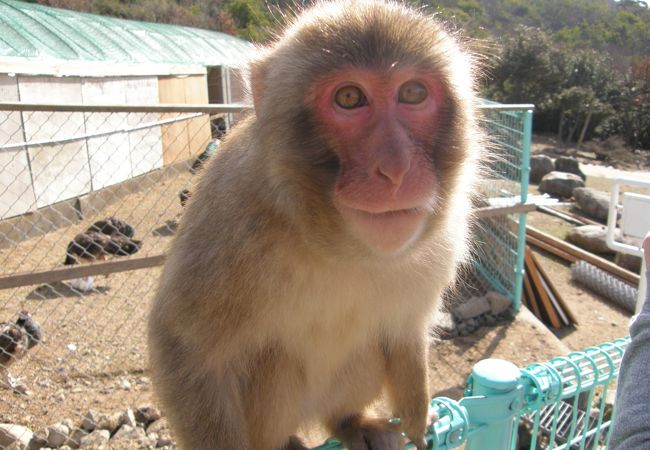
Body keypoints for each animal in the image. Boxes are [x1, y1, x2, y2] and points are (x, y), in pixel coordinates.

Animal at [148, 1, 480, 448]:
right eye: (349, 98)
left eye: (413, 93)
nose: (395, 168)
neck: (341, 247)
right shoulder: (229, 217)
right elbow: (186, 349)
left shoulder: (444, 238)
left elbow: (405, 328)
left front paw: (418, 414)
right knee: (277, 367)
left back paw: (350, 422)